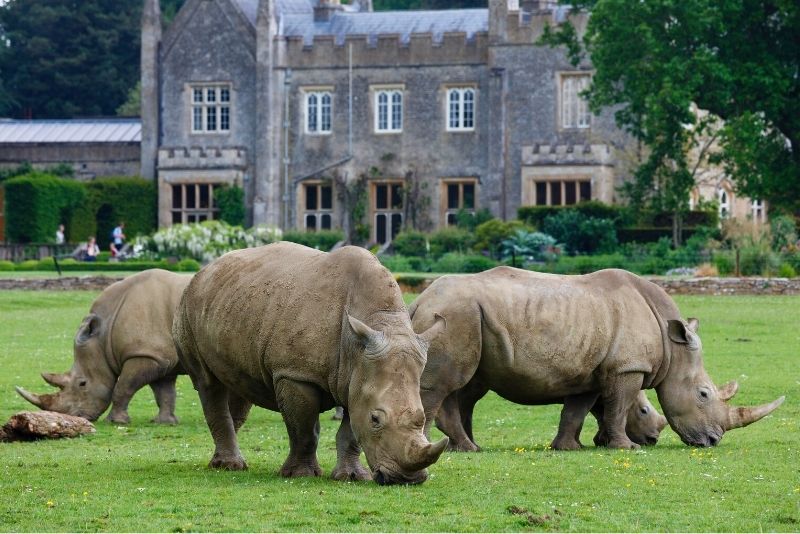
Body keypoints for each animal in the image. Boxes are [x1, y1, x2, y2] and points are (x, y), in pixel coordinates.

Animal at [16, 272, 191, 428]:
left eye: (82, 383)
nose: (73, 418)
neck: (104, 336)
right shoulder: (159, 358)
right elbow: (164, 393)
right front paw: (165, 422)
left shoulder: (146, 355)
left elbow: (123, 387)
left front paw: (116, 421)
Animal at [173, 245, 450, 488]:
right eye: (376, 419)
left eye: (421, 416)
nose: (407, 480)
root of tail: (206, 270)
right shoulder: (295, 374)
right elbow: (304, 430)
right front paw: (300, 475)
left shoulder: (357, 377)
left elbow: (350, 431)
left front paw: (351, 477)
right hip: (187, 305)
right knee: (208, 382)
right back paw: (230, 466)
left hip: (231, 304)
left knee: (238, 386)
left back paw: (226, 462)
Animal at [412, 270, 780, 450]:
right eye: (703, 394)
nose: (714, 441)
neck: (673, 347)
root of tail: (420, 299)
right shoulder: (627, 367)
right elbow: (619, 405)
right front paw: (626, 448)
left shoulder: (590, 372)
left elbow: (579, 409)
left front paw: (570, 448)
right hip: (455, 315)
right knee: (448, 383)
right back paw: (452, 447)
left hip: (465, 318)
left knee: (466, 388)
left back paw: (466, 447)